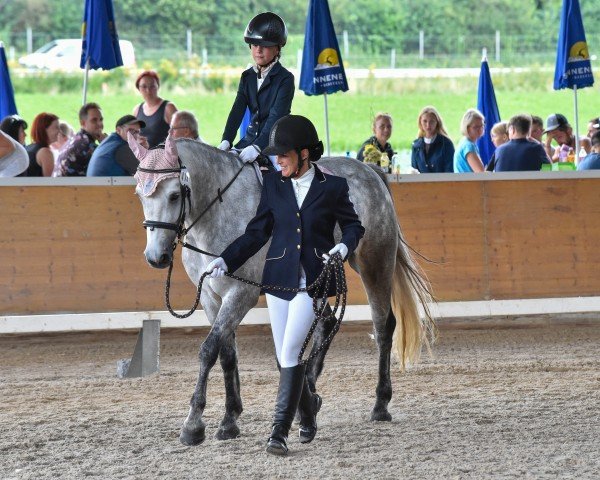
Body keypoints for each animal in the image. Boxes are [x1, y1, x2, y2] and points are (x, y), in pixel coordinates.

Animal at [137, 139, 434, 446]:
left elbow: (208, 350)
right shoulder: (210, 296)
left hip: (374, 263)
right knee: (326, 324)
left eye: (174, 195)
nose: (156, 257)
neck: (218, 209)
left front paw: (193, 425)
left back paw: (380, 404)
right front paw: (230, 419)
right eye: (140, 195)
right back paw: (310, 392)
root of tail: (369, 169)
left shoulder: (240, 294)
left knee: (383, 327)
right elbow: (226, 354)